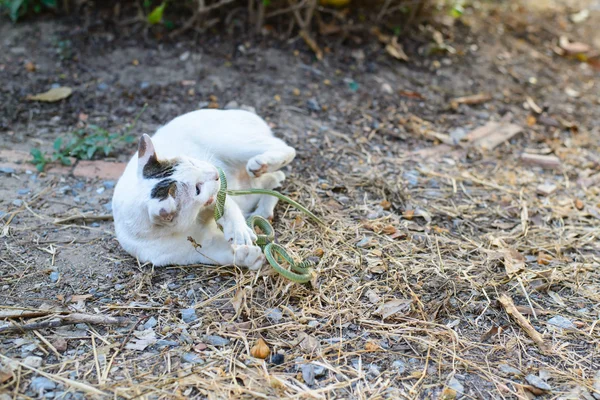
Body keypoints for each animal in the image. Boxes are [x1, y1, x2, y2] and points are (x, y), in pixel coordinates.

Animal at [112, 108, 296, 268]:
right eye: (197, 190)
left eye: (191, 162)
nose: (215, 173)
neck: (195, 221)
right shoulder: (189, 251)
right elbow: (218, 253)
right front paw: (247, 257)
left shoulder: (219, 193)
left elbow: (227, 207)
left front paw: (239, 231)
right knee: (275, 180)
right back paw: (263, 209)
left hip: (231, 143)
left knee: (285, 148)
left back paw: (262, 163)